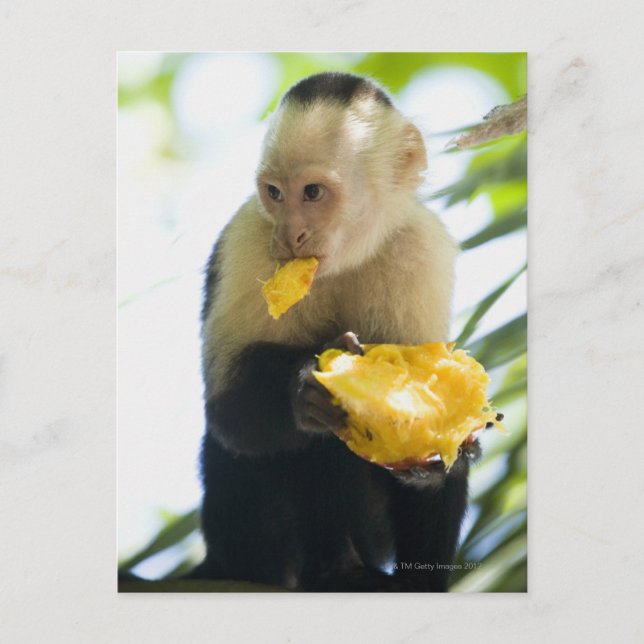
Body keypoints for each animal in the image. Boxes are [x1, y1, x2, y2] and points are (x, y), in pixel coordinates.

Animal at [195, 72, 479, 592]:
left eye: (312, 192)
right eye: (274, 192)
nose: (290, 236)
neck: (345, 258)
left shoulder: (419, 246)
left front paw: (439, 459)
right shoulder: (249, 241)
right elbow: (227, 413)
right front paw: (304, 388)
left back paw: (418, 581)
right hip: (251, 545)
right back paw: (333, 569)